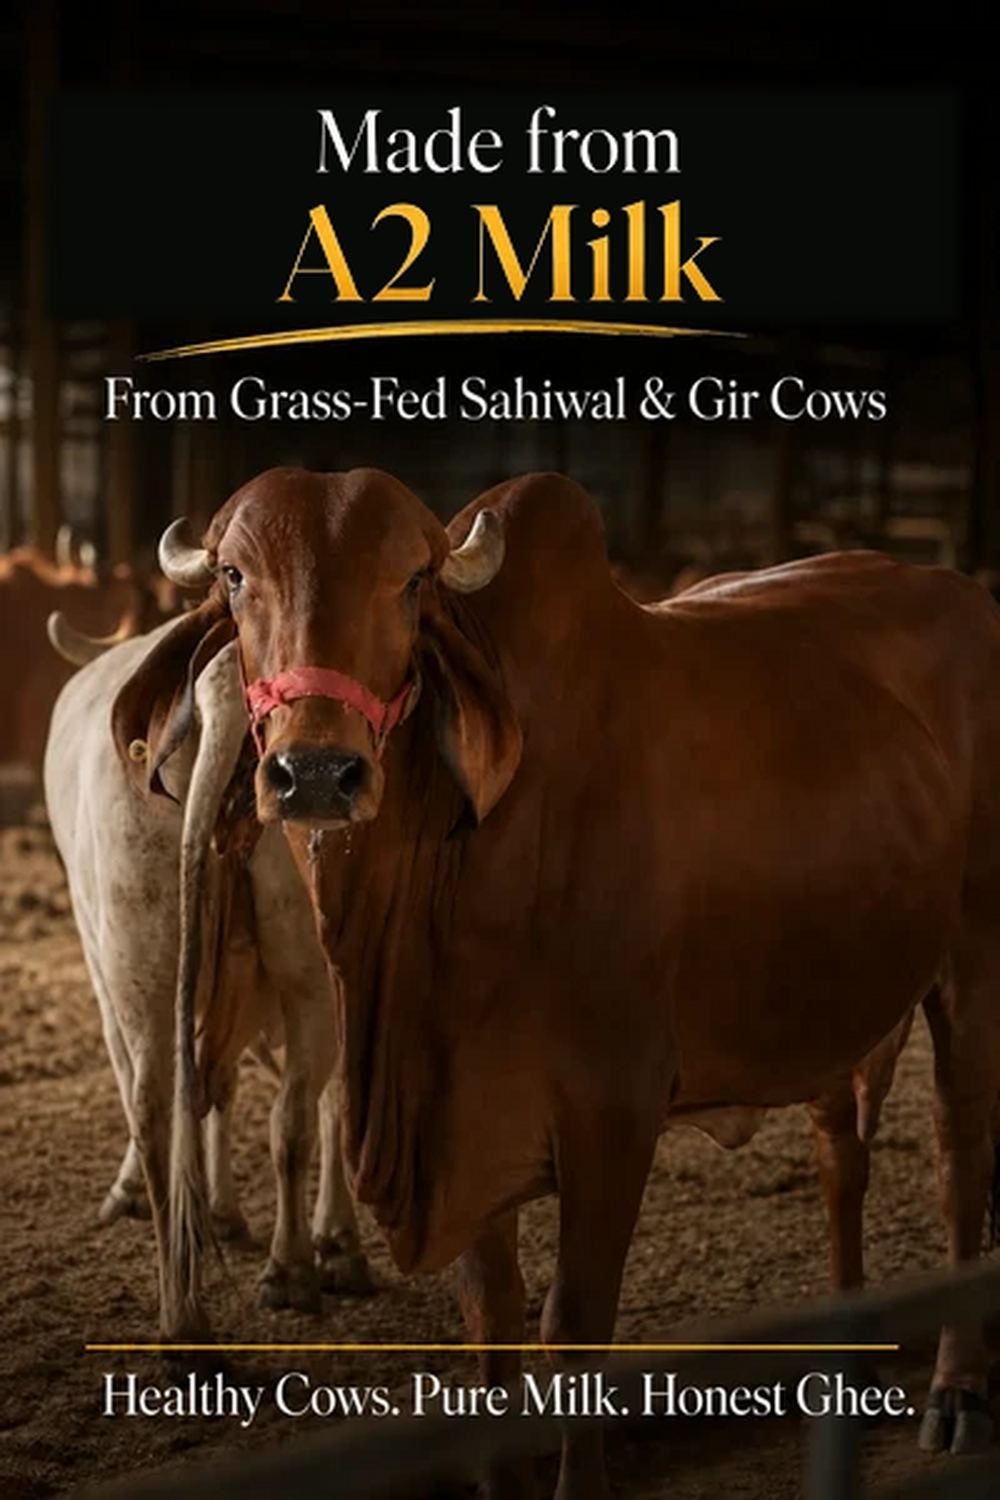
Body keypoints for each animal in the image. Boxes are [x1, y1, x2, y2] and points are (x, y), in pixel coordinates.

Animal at [43, 613, 371, 1334]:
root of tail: (217, 686)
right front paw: (327, 1239)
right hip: (300, 972)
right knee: (287, 1113)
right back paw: (287, 1270)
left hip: (139, 955)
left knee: (155, 1098)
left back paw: (185, 1306)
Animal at [116, 466, 1000, 1495]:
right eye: (234, 576)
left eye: (412, 582)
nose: (319, 773)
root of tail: (962, 592)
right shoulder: (455, 1119)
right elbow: (492, 1321)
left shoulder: (613, 1107)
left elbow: (573, 1324)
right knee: (840, 1157)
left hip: (972, 958)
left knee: (958, 1158)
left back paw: (957, 1391)